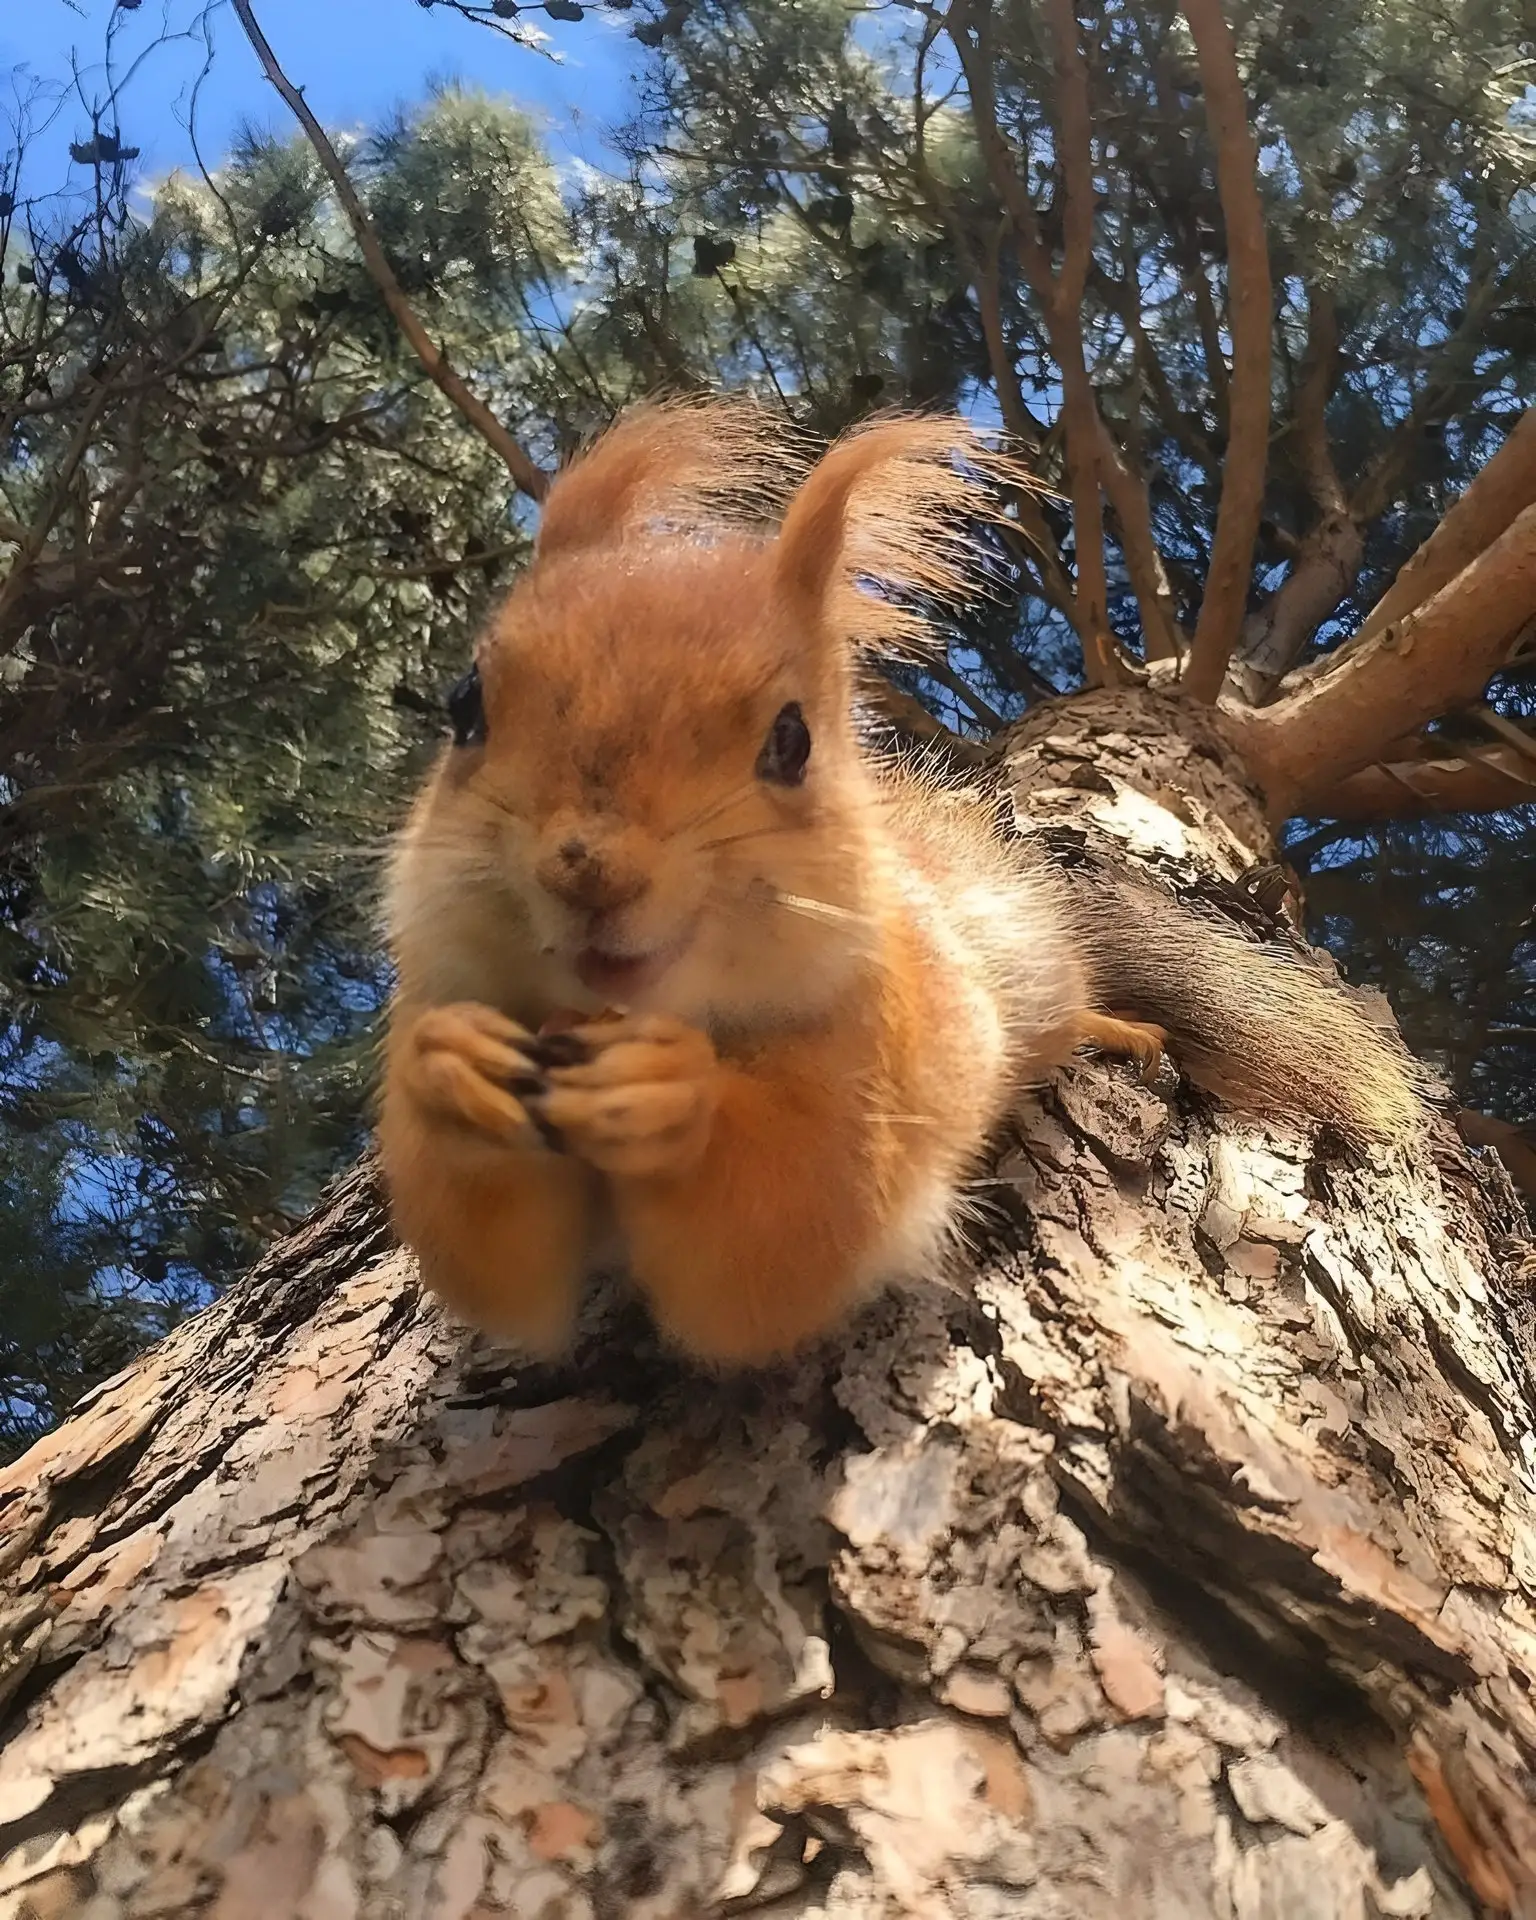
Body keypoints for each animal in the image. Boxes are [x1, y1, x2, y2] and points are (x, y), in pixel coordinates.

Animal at [379, 401, 1422, 1366]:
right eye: (464, 707)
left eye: (793, 741)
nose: (589, 868)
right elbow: (498, 1269)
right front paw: (449, 1070)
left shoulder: (893, 1046)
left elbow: (784, 1230)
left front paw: (679, 1094)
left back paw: (1109, 1026)